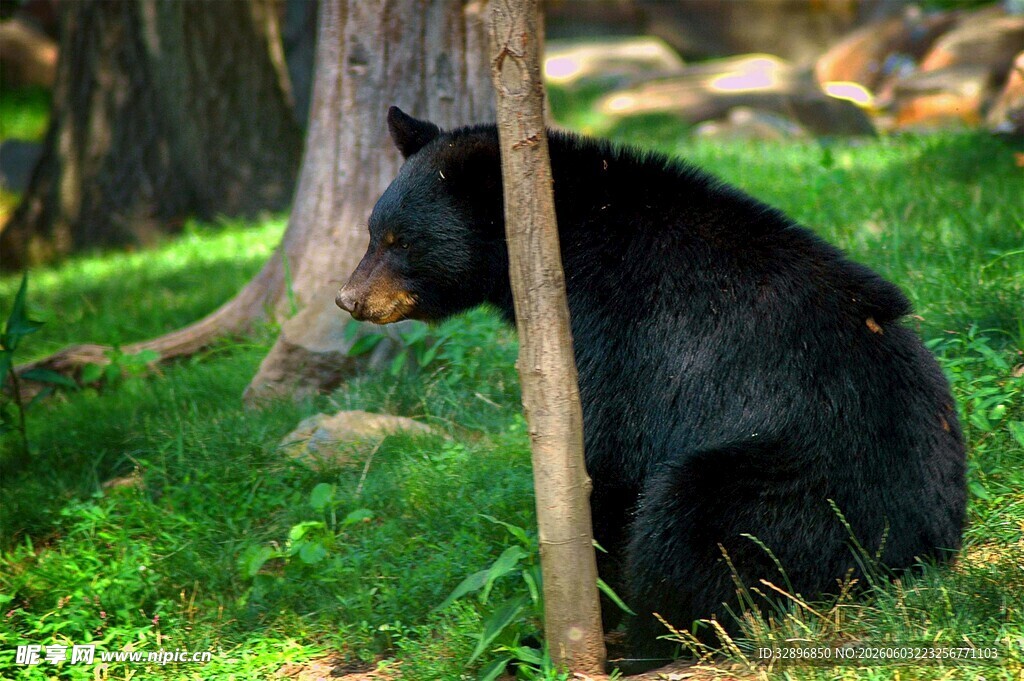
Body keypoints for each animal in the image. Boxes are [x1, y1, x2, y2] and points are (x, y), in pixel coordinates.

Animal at [336, 106, 967, 664]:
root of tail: (916, 558)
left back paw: (642, 646)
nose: (349, 299)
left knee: (689, 530)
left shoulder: (619, 334)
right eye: (372, 231)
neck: (557, 246)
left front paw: (583, 610)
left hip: (800, 495)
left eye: (402, 241)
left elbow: (608, 461)